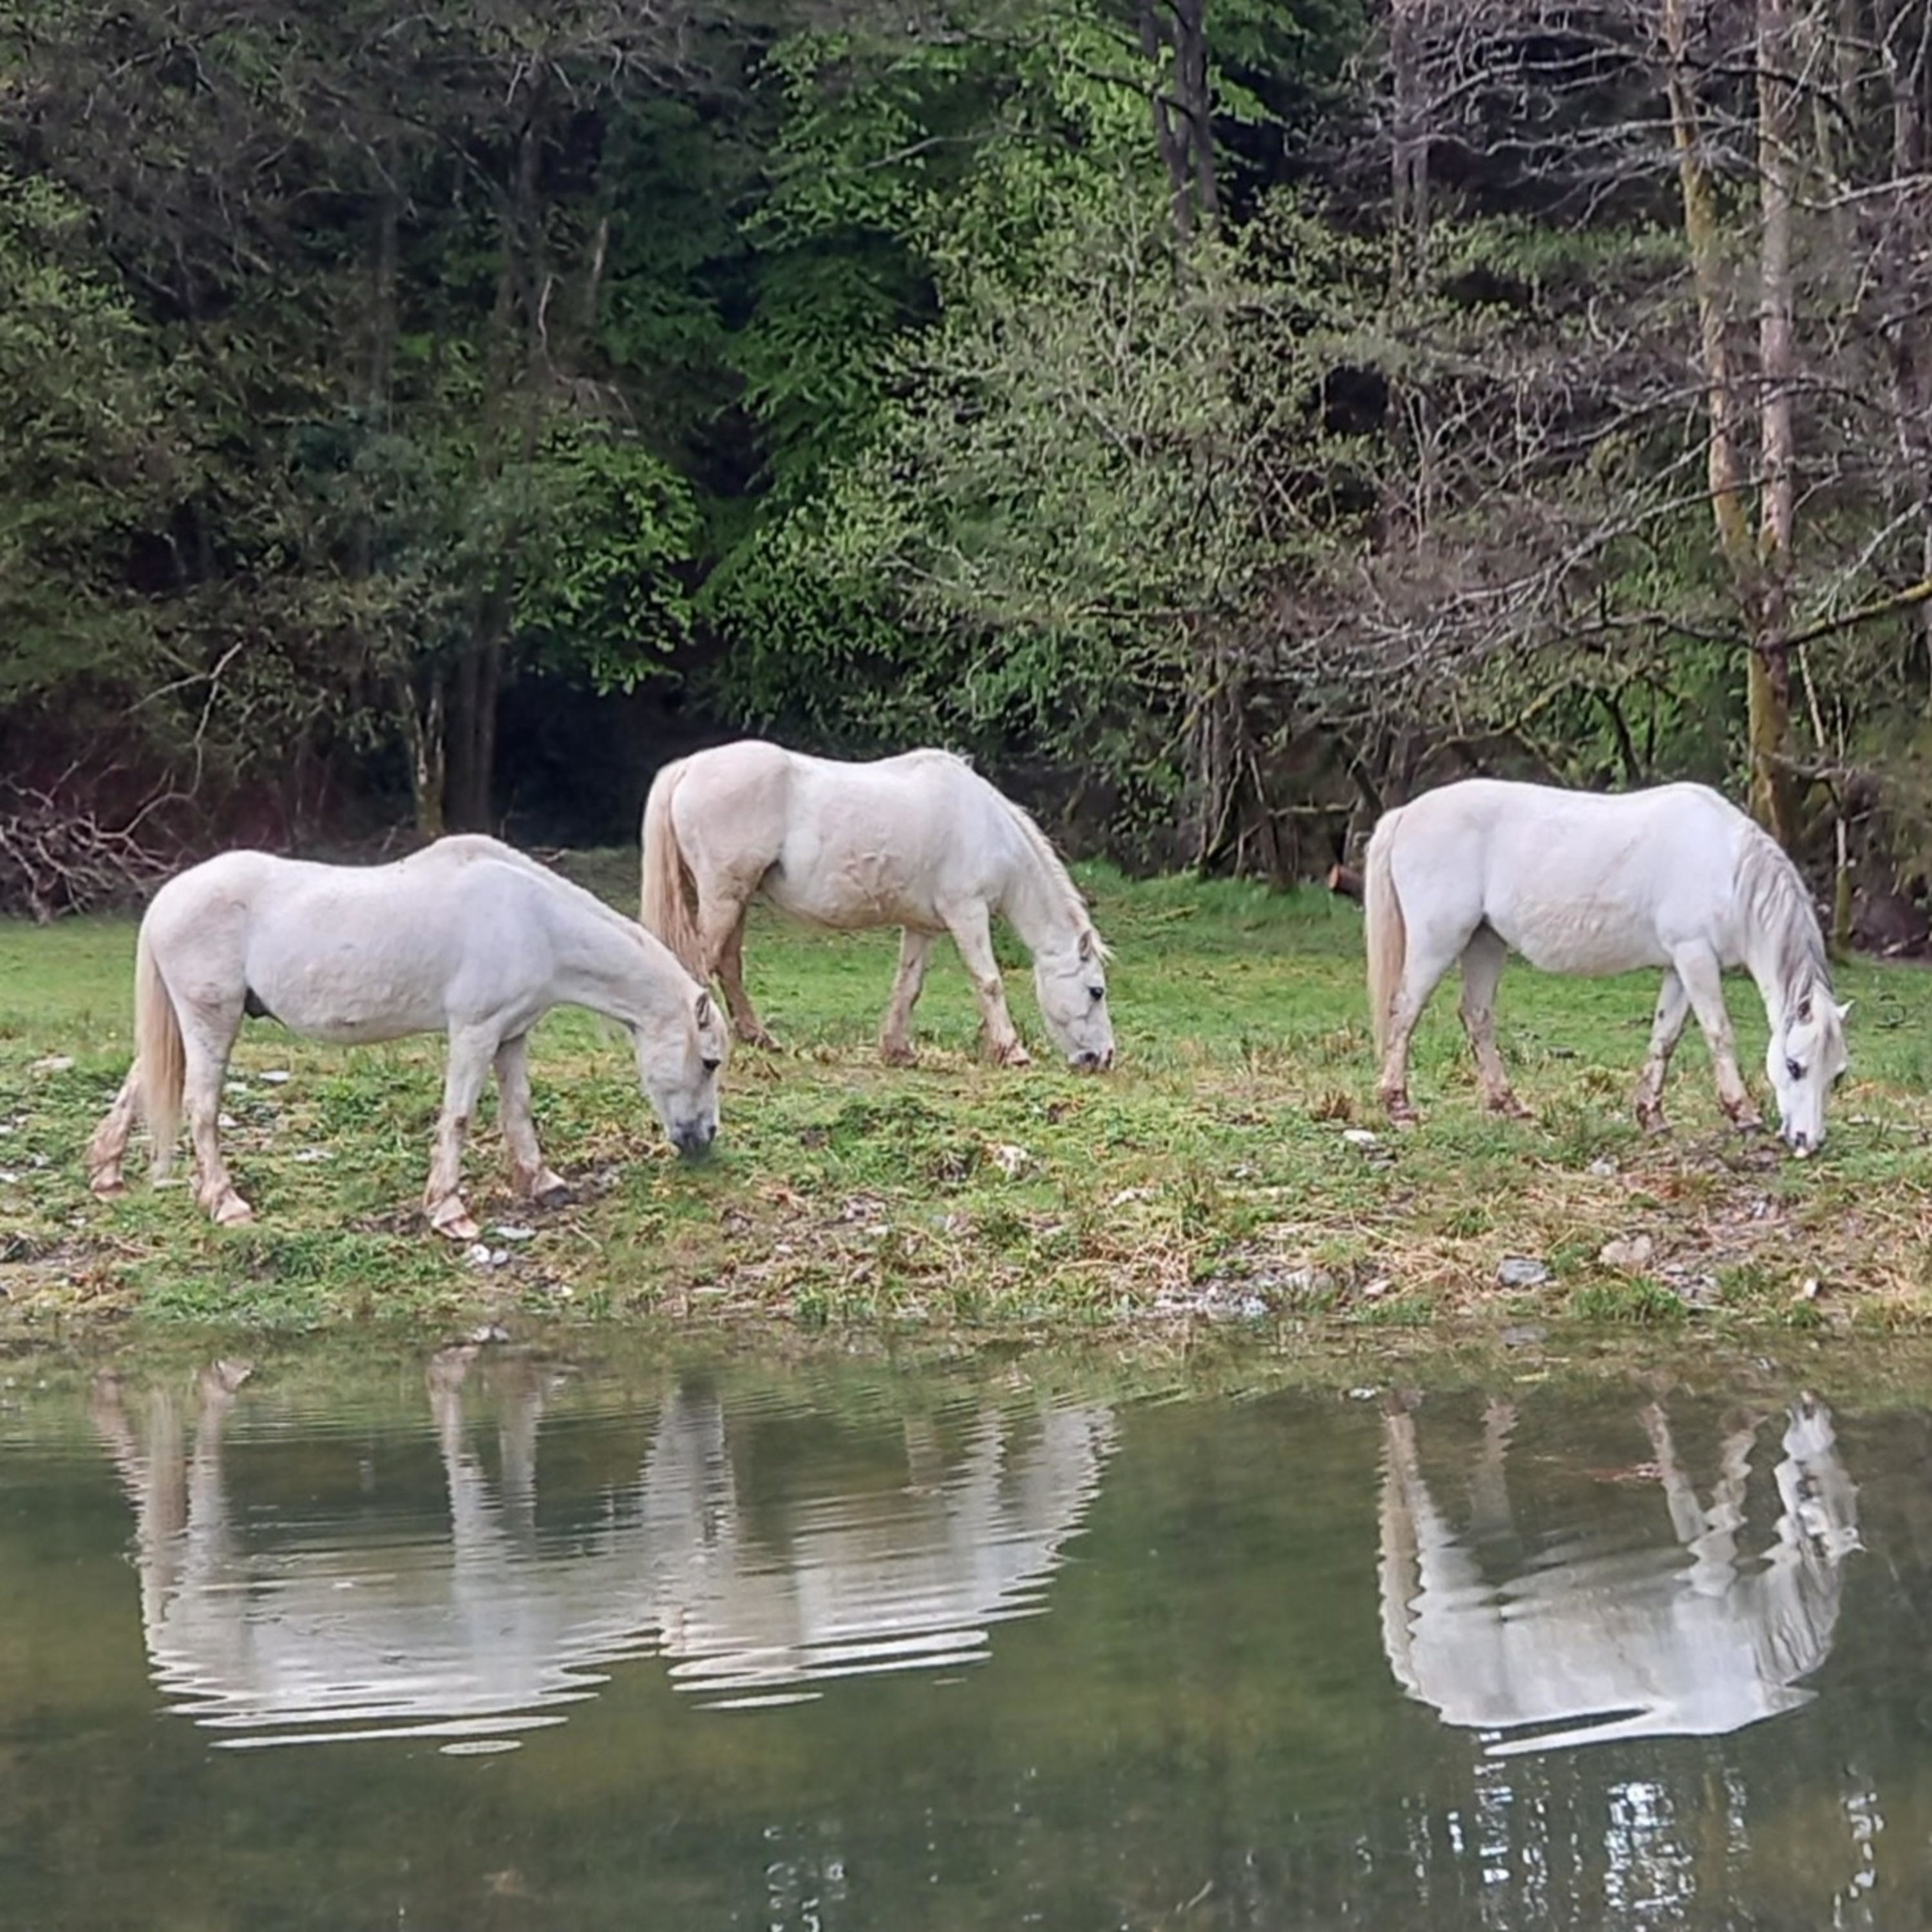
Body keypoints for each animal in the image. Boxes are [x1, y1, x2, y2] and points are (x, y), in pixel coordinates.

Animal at [86, 835, 727, 1239]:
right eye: (710, 1062)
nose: (704, 1140)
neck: (534, 920)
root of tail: (167, 900)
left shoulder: (511, 1036)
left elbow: (518, 1109)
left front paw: (543, 1182)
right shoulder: (474, 1033)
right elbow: (459, 1117)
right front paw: (449, 1212)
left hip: (186, 1023)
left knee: (141, 1084)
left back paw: (107, 1173)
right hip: (212, 1022)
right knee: (200, 1106)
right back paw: (226, 1203)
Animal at [640, 740, 1115, 1069]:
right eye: (1097, 990)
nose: (1105, 1057)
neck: (982, 823)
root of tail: (689, 766)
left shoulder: (924, 927)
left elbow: (909, 986)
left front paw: (898, 1051)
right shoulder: (968, 914)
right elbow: (989, 981)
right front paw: (1013, 1052)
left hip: (734, 899)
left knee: (727, 964)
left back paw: (760, 1038)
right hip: (723, 897)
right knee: (701, 963)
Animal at [1363, 779, 1850, 1153]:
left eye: (1837, 1075)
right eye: (1794, 1066)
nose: (1808, 1142)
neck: (1727, 869)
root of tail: (1405, 814)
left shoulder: (1679, 966)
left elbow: (1665, 1038)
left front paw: (1652, 1117)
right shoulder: (1695, 957)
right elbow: (1719, 1033)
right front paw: (1743, 1113)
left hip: (1485, 941)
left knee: (1477, 1016)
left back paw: (1510, 1105)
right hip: (1438, 941)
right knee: (1405, 1011)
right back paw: (1399, 1107)